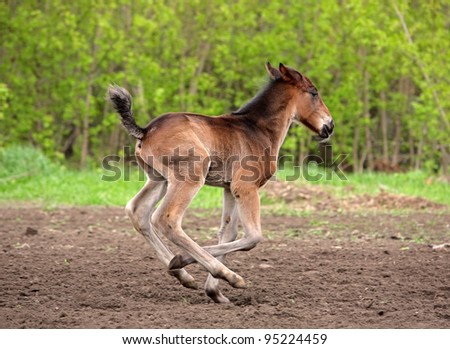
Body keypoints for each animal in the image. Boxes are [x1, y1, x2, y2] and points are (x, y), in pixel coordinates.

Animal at [108, 62, 334, 302]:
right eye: (314, 92)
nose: (330, 125)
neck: (259, 130)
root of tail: (145, 131)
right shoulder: (245, 186)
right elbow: (253, 236)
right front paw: (200, 267)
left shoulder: (228, 188)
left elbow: (228, 232)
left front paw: (215, 292)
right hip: (190, 176)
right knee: (165, 218)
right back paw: (210, 270)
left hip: (159, 179)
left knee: (138, 211)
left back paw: (184, 275)